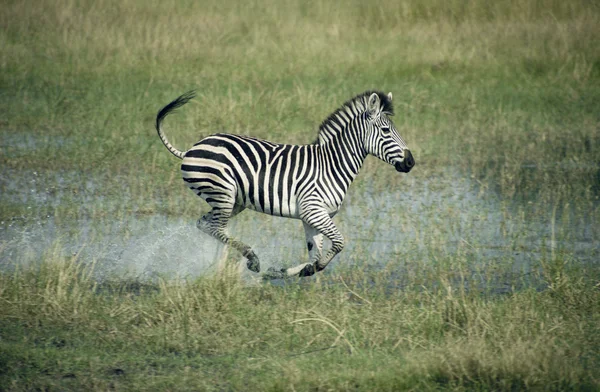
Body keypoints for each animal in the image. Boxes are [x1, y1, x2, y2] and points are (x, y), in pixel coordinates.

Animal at [157, 89, 414, 278]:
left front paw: (282, 272)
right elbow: (338, 243)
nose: (410, 162)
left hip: (233, 201)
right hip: (223, 194)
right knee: (215, 228)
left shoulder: (313, 216)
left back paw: (221, 268)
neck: (332, 164)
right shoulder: (313, 211)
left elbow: (315, 256)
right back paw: (251, 259)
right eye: (385, 130)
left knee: (205, 224)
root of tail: (191, 148)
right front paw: (292, 270)